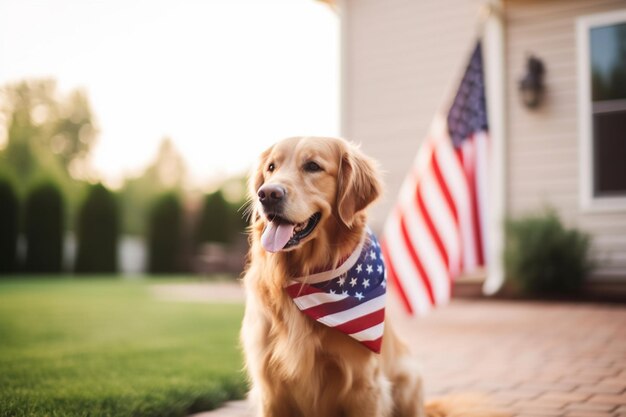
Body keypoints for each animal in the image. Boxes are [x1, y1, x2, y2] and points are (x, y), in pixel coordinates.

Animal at [239, 136, 508, 416]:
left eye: (313, 166)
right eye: (271, 168)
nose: (267, 194)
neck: (302, 279)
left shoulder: (363, 386)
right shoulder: (270, 389)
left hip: (409, 378)